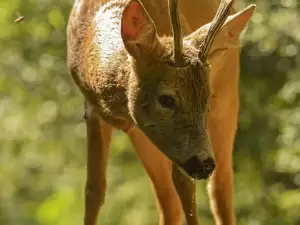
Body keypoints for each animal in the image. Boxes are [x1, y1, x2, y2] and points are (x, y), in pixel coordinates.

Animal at [67, 0, 256, 224]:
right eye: (166, 99)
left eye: (206, 100)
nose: (205, 164)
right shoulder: (92, 109)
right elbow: (93, 190)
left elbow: (185, 186)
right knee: (168, 200)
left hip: (227, 97)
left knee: (219, 187)